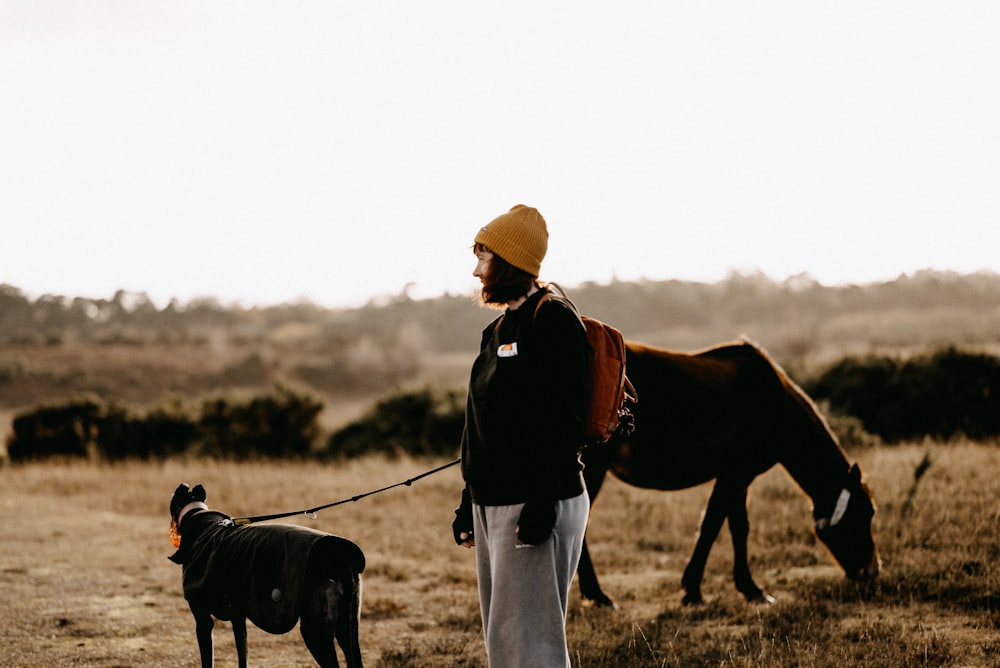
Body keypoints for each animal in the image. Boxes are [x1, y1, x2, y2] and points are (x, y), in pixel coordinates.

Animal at [170, 482, 366, 664]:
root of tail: (342, 556)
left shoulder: (202, 617)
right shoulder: (238, 618)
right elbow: (242, 655)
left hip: (316, 630)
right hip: (348, 628)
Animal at [580, 336, 884, 608]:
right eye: (865, 513)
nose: (873, 570)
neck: (776, 404)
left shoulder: (740, 479)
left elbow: (739, 527)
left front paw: (750, 588)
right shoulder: (734, 475)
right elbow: (711, 526)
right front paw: (693, 591)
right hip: (593, 469)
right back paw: (598, 595)